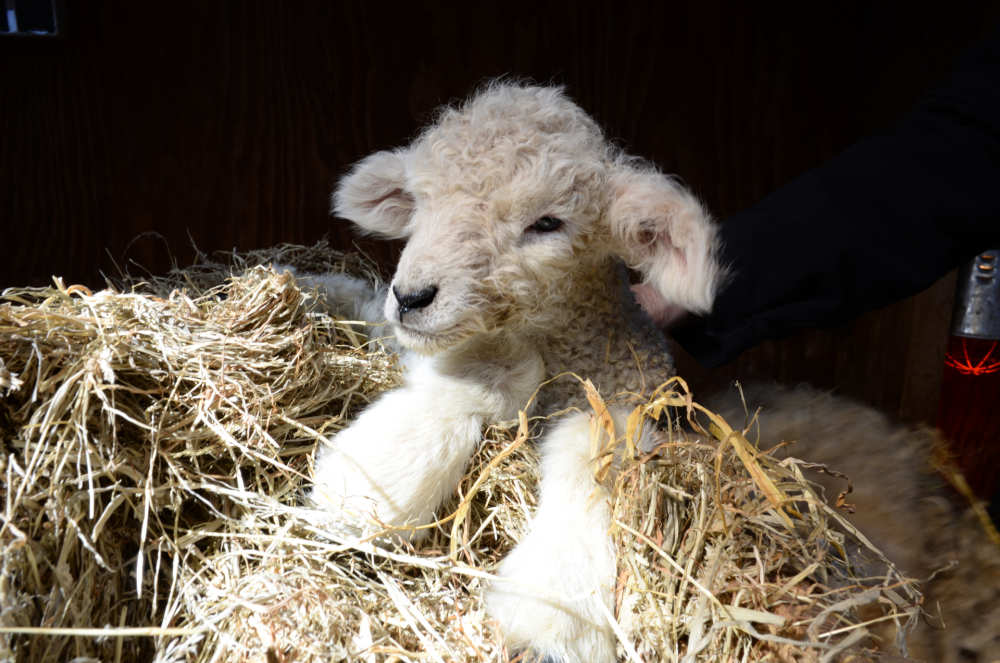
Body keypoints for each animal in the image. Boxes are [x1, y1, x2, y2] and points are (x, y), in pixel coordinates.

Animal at [306, 80, 1000, 660]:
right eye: (421, 203)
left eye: (547, 223)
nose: (412, 296)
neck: (564, 358)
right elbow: (469, 385)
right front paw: (362, 493)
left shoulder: (625, 404)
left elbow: (589, 457)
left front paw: (550, 612)